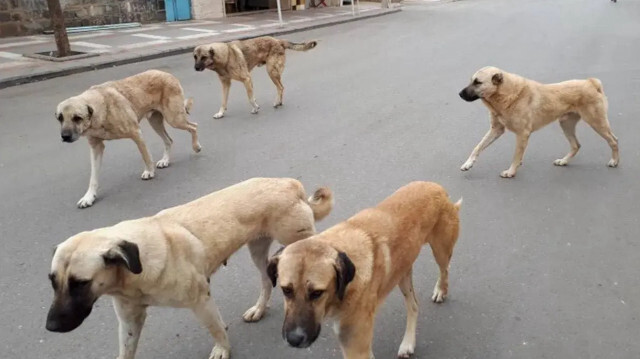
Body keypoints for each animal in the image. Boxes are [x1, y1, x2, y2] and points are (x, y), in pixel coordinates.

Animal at [55, 69, 201, 208]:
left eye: (77, 118)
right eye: (60, 118)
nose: (65, 136)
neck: (101, 109)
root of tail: (167, 74)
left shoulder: (136, 133)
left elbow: (146, 156)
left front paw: (149, 171)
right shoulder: (96, 147)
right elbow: (93, 177)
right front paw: (89, 197)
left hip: (174, 119)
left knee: (193, 126)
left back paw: (196, 146)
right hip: (155, 121)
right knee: (169, 140)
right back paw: (165, 160)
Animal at [264, 183, 460, 359]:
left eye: (317, 293)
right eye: (286, 290)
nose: (294, 339)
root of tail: (439, 188)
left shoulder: (355, 347)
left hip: (441, 251)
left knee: (445, 270)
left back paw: (441, 290)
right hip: (403, 272)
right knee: (414, 305)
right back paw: (408, 343)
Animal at [460, 66, 620, 179]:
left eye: (478, 82)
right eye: (471, 80)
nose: (459, 94)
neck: (507, 95)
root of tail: (591, 82)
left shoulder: (522, 134)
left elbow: (516, 155)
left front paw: (511, 171)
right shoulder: (496, 130)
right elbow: (478, 147)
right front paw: (468, 163)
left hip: (596, 122)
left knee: (614, 140)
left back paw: (614, 161)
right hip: (566, 123)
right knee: (576, 145)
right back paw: (563, 161)